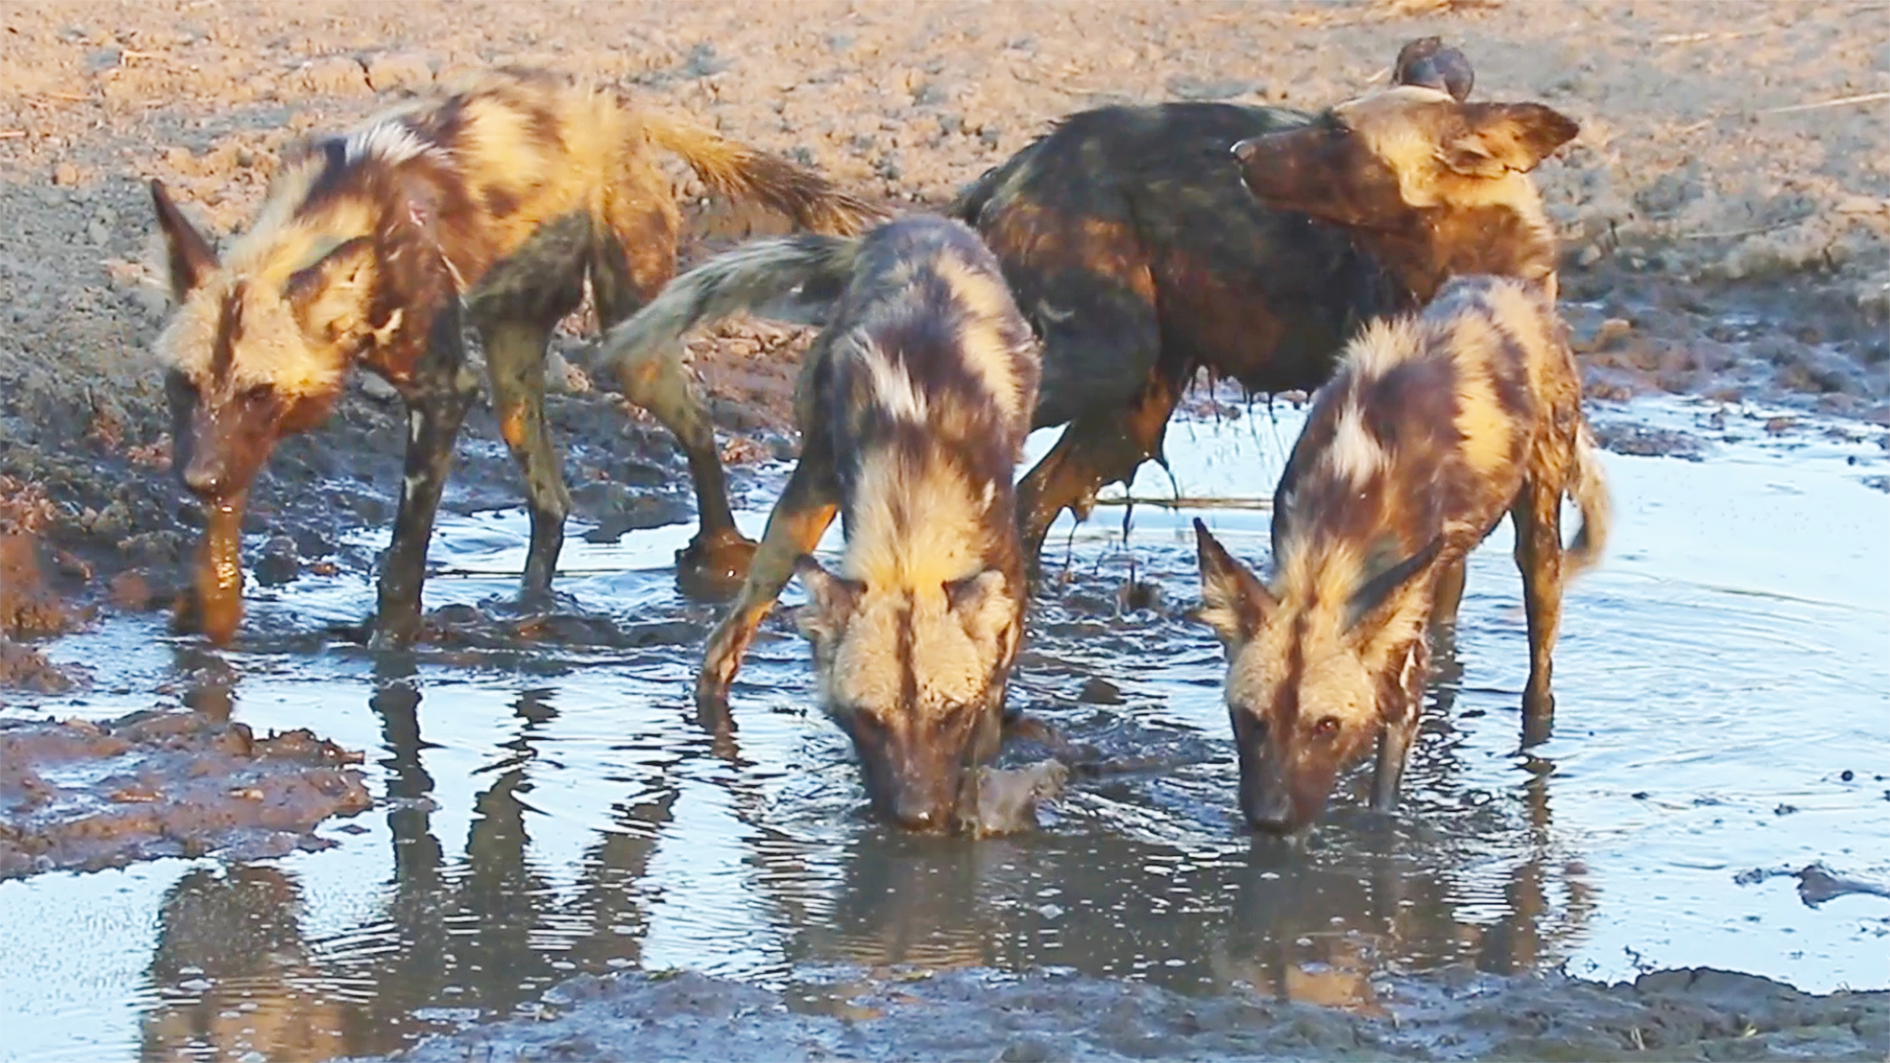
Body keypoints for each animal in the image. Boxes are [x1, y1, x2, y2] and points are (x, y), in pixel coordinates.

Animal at [151, 70, 880, 646]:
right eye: (183, 386)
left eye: (258, 391)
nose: (195, 479)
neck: (337, 215)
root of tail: (616, 108)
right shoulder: (236, 442)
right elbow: (229, 520)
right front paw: (213, 607)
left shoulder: (441, 395)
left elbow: (403, 560)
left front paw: (391, 645)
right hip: (511, 373)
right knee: (551, 501)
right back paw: (531, 605)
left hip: (629, 353)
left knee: (697, 427)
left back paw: (718, 551)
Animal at [593, 212, 1043, 828]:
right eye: (870, 719)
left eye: (950, 715)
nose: (917, 816)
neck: (912, 461)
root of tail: (913, 221)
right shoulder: (807, 494)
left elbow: (987, 720)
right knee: (731, 637)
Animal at [1202, 82, 1617, 832]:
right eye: (1248, 720)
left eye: (1325, 727)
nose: (1271, 818)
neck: (1349, 493)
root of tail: (1496, 280)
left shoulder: (1398, 679)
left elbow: (1382, 802)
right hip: (1446, 572)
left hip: (1537, 537)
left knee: (1540, 654)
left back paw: (1537, 731)